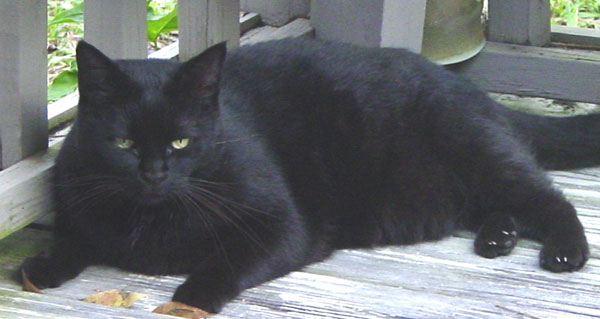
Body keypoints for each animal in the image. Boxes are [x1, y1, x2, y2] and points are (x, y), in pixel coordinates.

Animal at [18, 38, 596, 314]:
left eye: (181, 142)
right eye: (123, 144)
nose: (154, 174)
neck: (150, 219)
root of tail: (470, 88)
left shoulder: (283, 223)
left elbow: (228, 259)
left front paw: (191, 297)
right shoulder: (79, 200)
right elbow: (74, 237)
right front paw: (40, 266)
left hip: (476, 151)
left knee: (548, 197)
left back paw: (563, 252)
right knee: (500, 207)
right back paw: (498, 238)